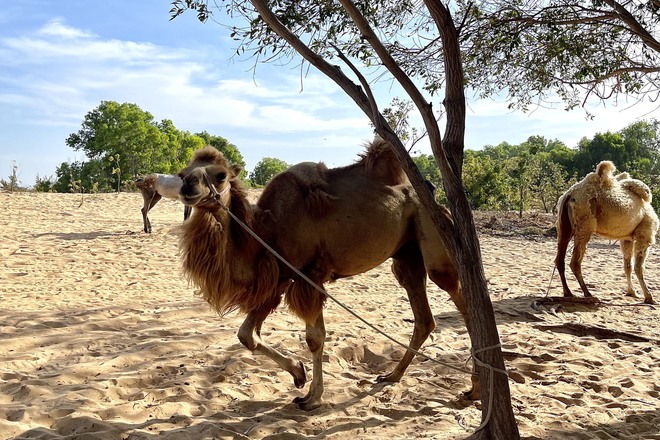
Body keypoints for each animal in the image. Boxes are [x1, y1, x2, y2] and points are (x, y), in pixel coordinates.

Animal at [178, 140, 472, 410]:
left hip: (434, 236)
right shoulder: (283, 278)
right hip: (406, 256)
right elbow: (246, 335)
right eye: (184, 173)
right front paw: (298, 373)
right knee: (423, 318)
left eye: (221, 175)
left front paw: (313, 398)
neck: (267, 231)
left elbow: (314, 338)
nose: (187, 187)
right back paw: (391, 376)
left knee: (462, 301)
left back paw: (473, 391)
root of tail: (435, 199)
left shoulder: (310, 275)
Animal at [556, 161, 656, 302]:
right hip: (585, 225)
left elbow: (627, 266)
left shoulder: (627, 238)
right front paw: (648, 297)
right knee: (575, 262)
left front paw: (631, 292)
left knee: (560, 259)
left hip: (564, 227)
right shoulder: (645, 234)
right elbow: (638, 267)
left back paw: (568, 292)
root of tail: (569, 195)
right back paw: (588, 293)